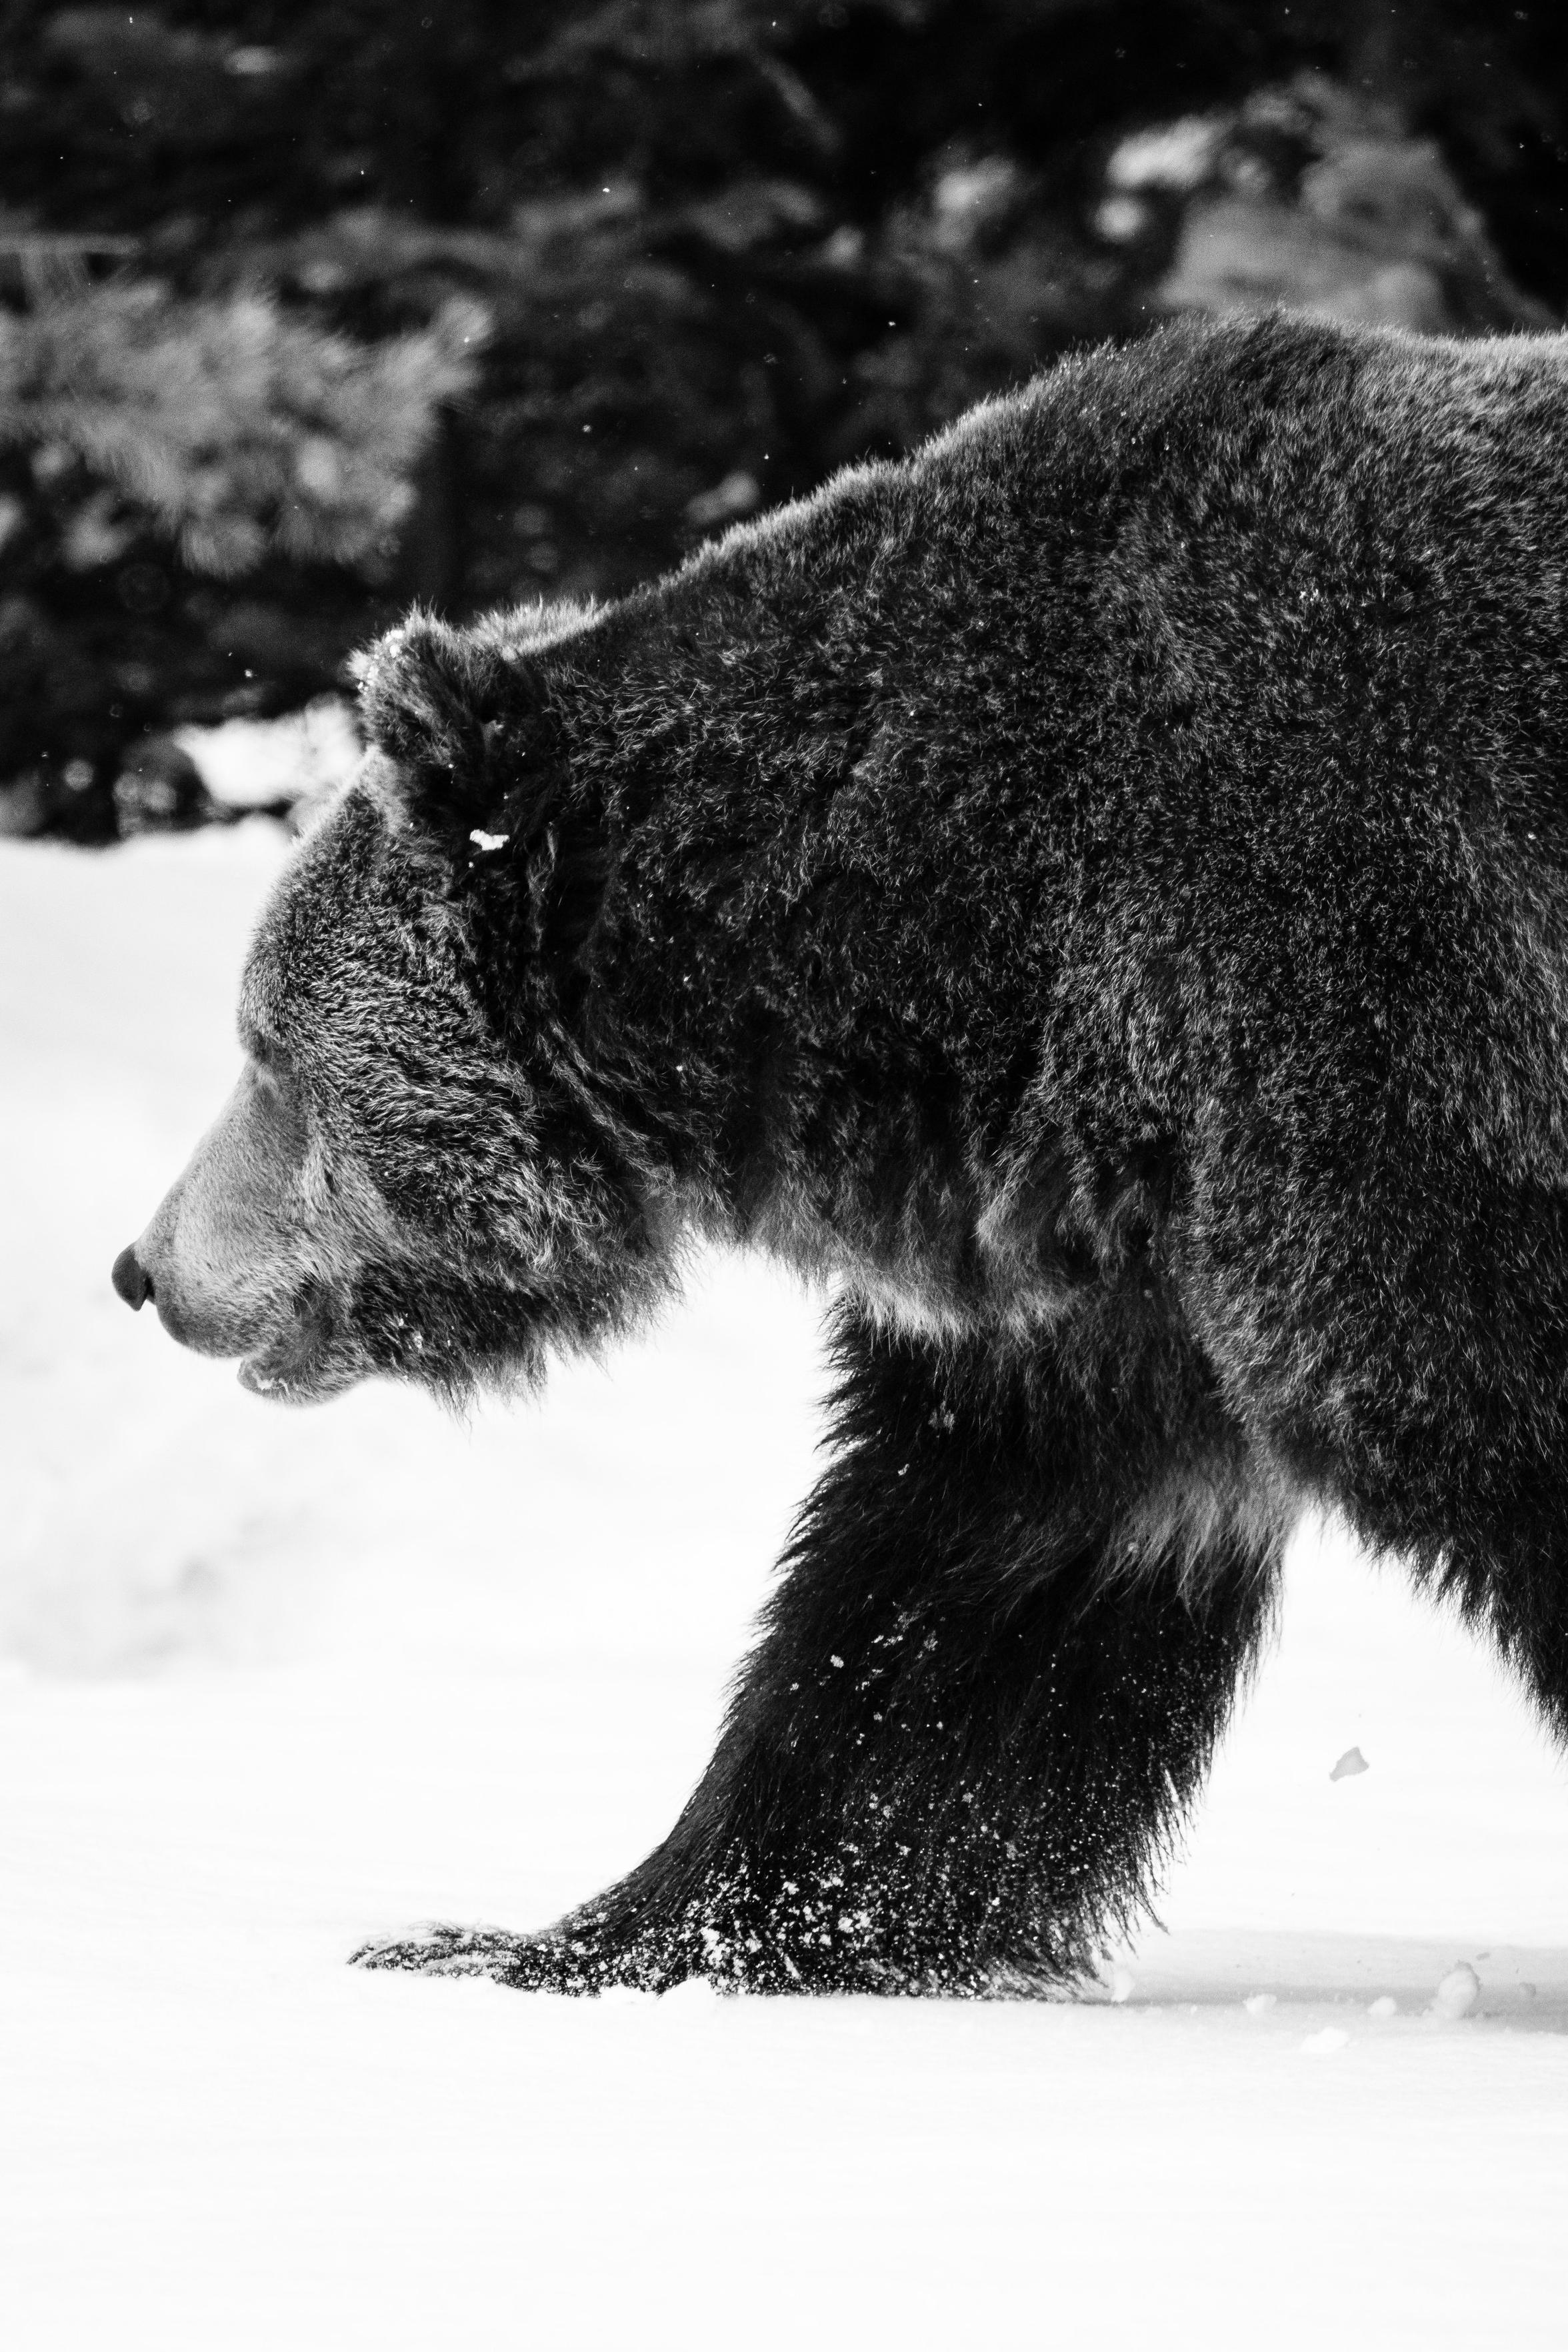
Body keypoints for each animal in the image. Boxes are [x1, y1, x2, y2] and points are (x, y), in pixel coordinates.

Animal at [113, 310, 1568, 1995]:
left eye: (265, 1044)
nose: (143, 1263)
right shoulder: (1097, 1255)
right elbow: (945, 1595)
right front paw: (581, 1931)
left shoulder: (1357, 1006)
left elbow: (1449, 1375)